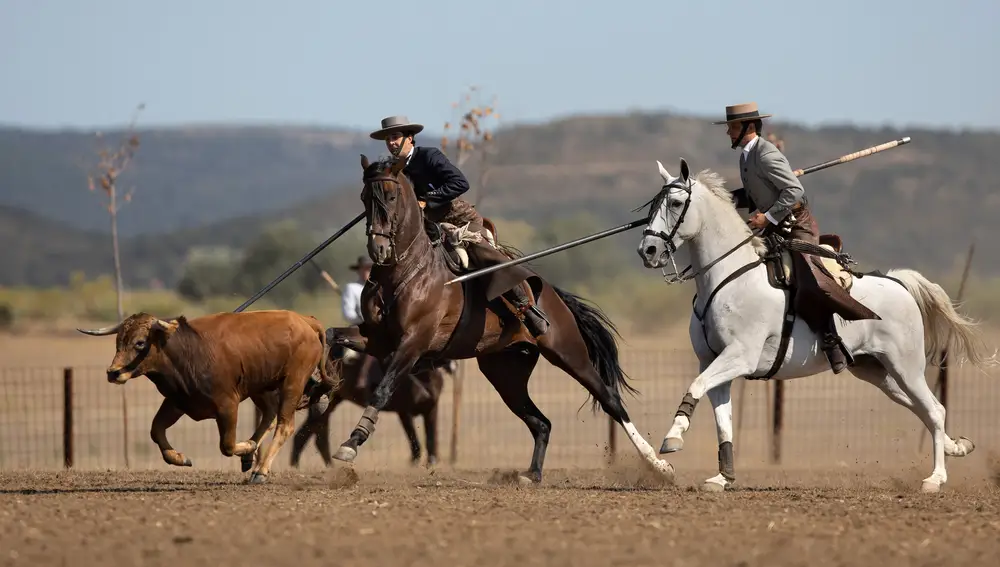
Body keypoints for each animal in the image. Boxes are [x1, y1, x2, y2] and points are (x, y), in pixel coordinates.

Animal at [78, 310, 336, 484]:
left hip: (293, 383)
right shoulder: (178, 401)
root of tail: (305, 321)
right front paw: (179, 458)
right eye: (118, 341)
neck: (190, 352)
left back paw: (260, 470)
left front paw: (246, 447)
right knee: (270, 416)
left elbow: (227, 445)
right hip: (261, 387)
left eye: (140, 342)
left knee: (284, 425)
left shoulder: (227, 405)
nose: (113, 372)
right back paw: (251, 458)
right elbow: (156, 430)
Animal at [290, 352, 454, 468]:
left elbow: (431, 439)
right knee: (313, 436)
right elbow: (414, 441)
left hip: (332, 402)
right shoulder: (403, 412)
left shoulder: (431, 409)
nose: (452, 367)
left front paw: (431, 463)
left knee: (307, 435)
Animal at [324, 154, 676, 484]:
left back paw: (658, 465)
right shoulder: (378, 339)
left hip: (568, 354)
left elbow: (382, 390)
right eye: (364, 197)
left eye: (391, 195)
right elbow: (331, 335)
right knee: (541, 422)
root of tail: (552, 294)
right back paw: (531, 474)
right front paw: (324, 390)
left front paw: (351, 443)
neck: (406, 270)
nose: (379, 249)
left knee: (610, 400)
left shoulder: (412, 343)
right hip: (505, 372)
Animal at [632, 158, 992, 494]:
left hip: (906, 366)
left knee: (934, 410)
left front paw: (673, 439)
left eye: (676, 203)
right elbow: (723, 420)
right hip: (874, 370)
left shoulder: (739, 357)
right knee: (921, 408)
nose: (647, 250)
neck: (730, 277)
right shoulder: (713, 362)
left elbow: (694, 387)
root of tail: (898, 282)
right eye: (652, 206)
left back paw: (935, 478)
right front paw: (723, 477)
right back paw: (957, 446)